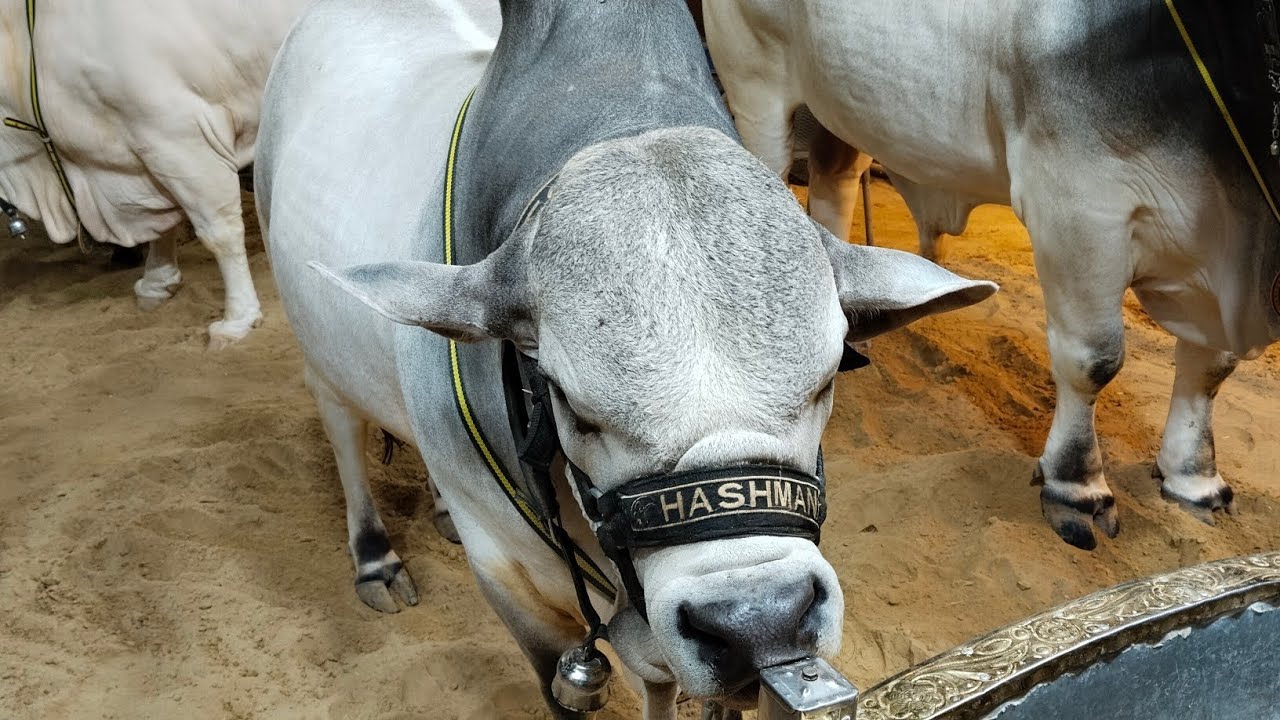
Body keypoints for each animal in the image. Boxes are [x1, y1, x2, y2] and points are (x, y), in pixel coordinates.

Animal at [0, 0, 314, 348]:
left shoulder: (181, 136)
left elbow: (220, 233)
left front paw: (237, 320)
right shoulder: (148, 153)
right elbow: (165, 224)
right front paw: (157, 282)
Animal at [255, 0, 996, 715]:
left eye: (826, 381)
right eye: (570, 405)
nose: (759, 621)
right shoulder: (516, 594)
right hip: (318, 353)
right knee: (343, 432)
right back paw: (375, 558)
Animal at [704, 0, 1280, 550]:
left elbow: (1211, 369)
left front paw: (1195, 480)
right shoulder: (1077, 206)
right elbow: (1094, 360)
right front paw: (1077, 488)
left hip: (837, 109)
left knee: (833, 187)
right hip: (757, 87)